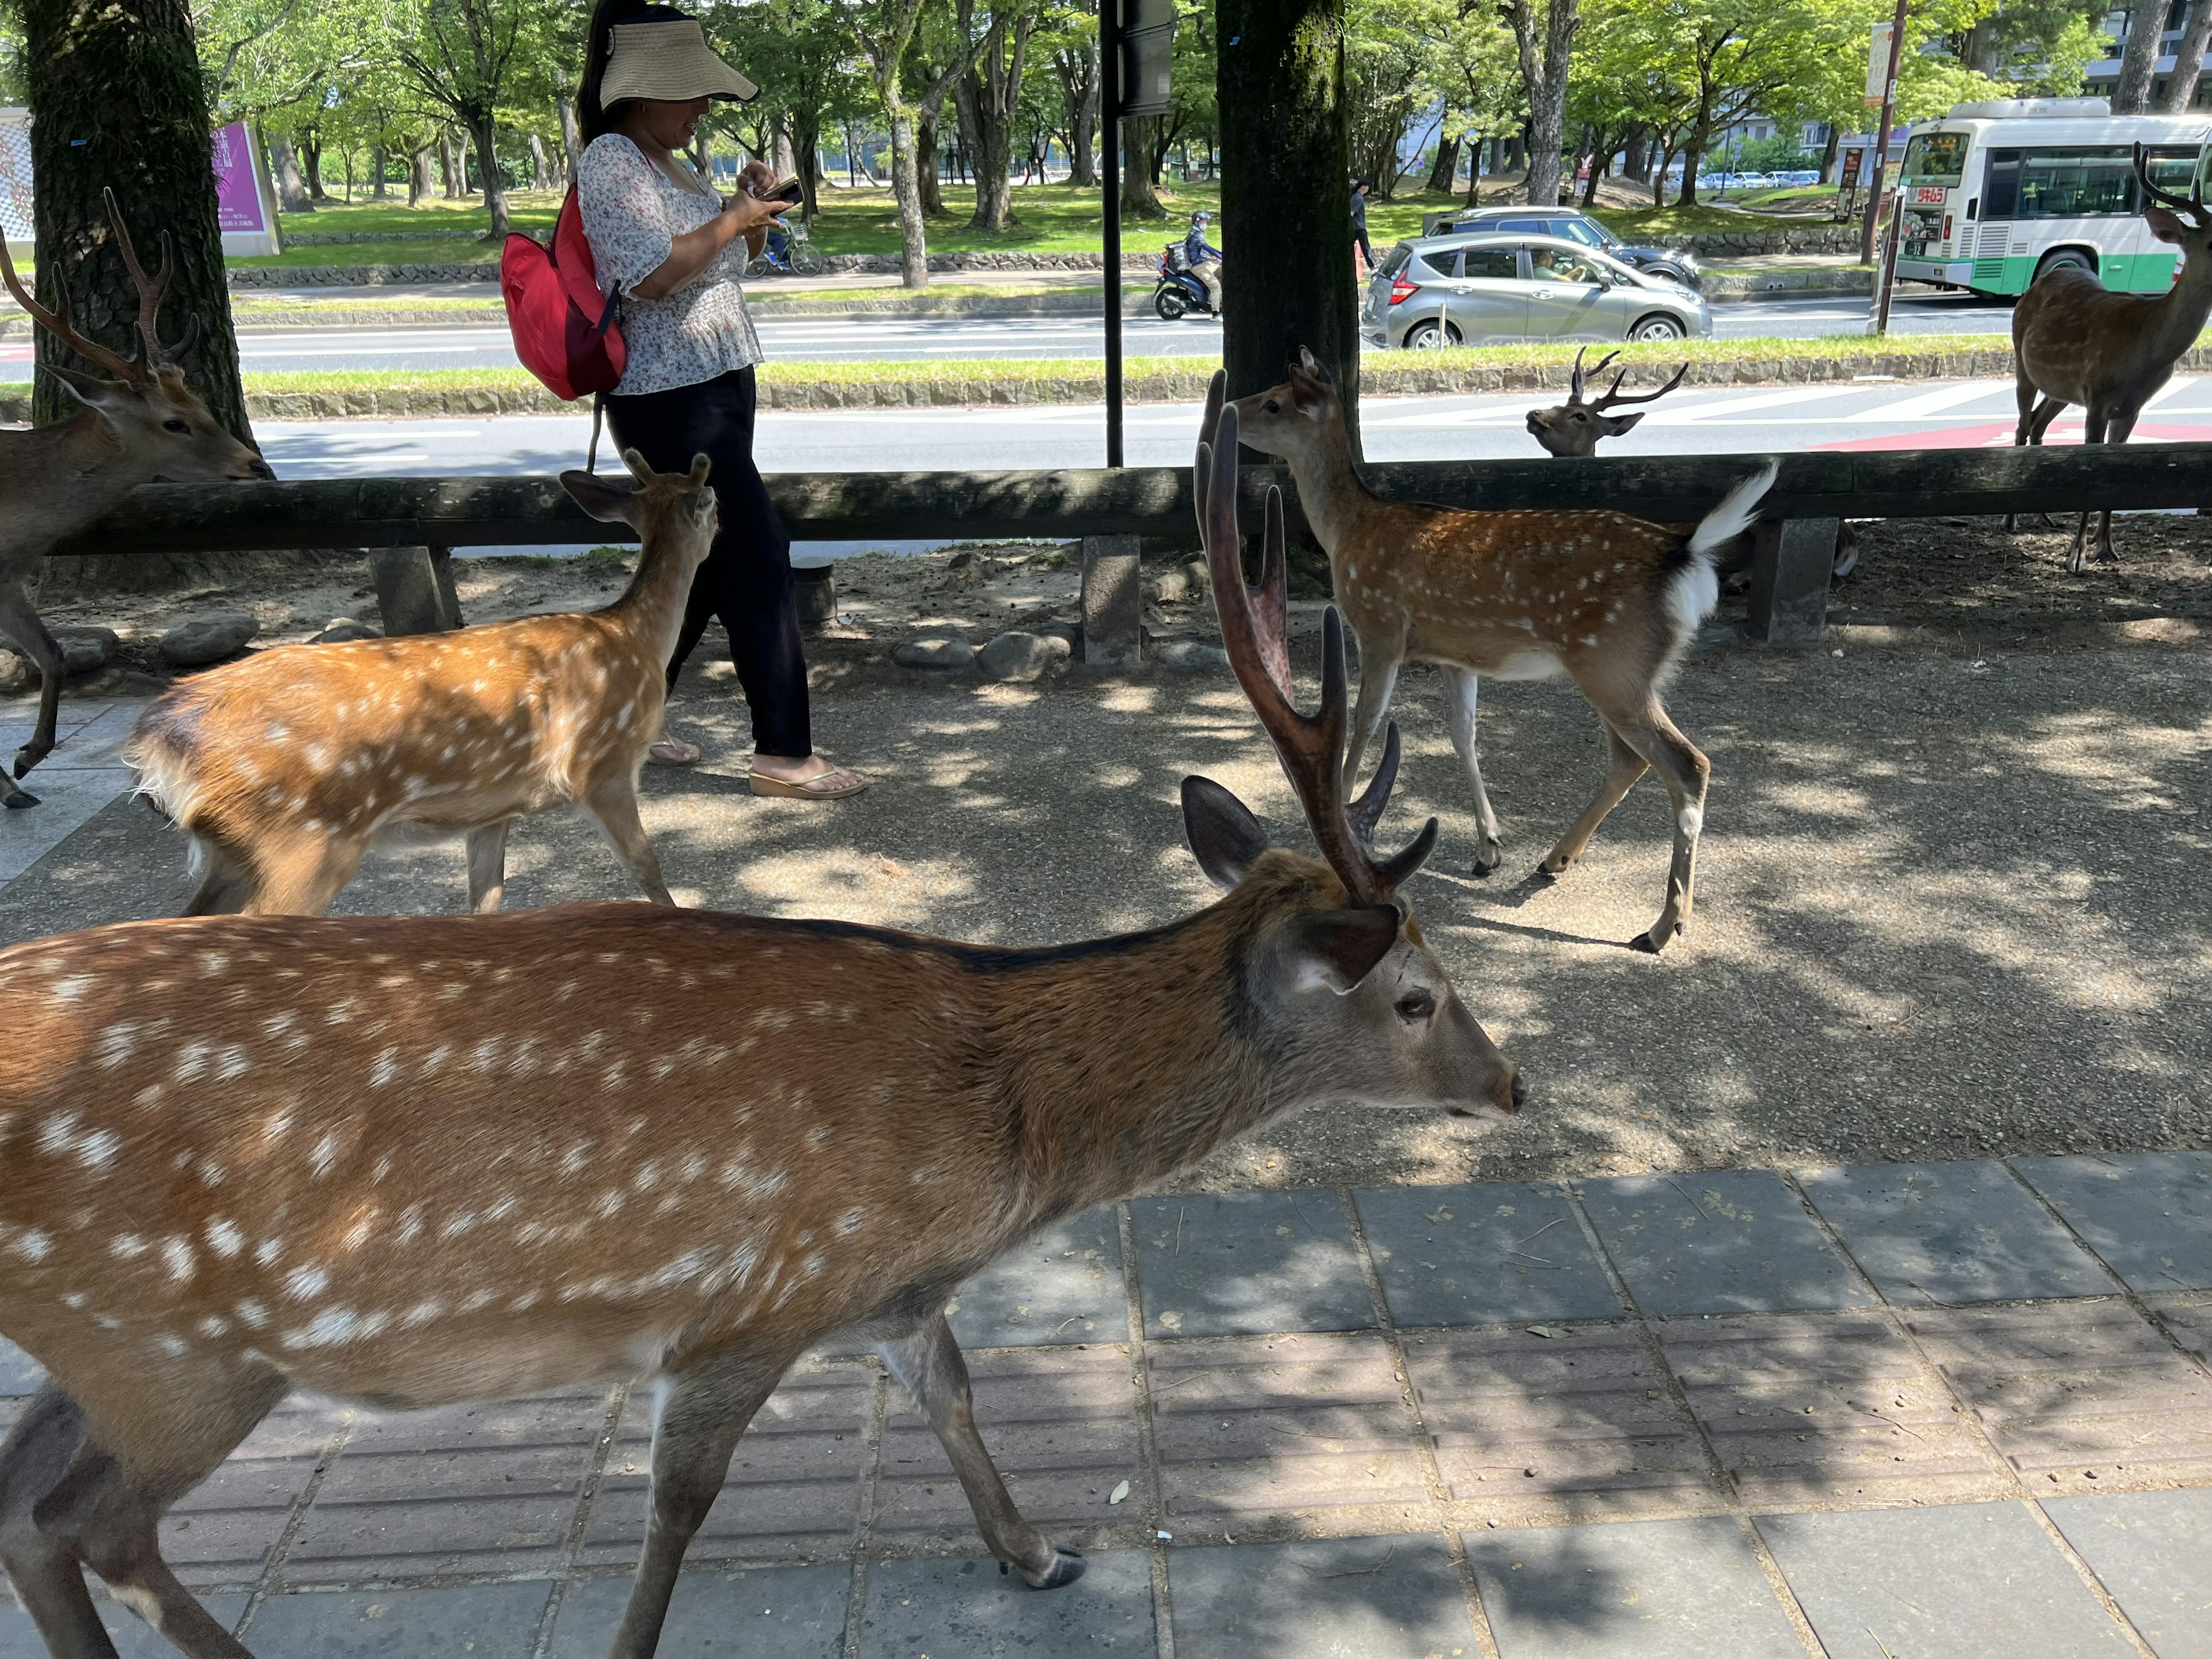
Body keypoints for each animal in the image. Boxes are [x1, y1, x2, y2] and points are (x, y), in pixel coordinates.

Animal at [0, 190, 274, 814]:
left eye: (201, 402)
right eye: (173, 422)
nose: (256, 465)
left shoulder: (6, 578)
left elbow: (53, 652)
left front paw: (23, 767)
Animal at [123, 451, 717, 925]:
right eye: (712, 501)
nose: (725, 521)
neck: (635, 637)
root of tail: (157, 740)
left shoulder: (496, 807)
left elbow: (486, 900)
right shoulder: (604, 764)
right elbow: (648, 867)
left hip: (236, 849)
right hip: (301, 839)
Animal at [1230, 351, 1778, 955]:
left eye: (1274, 402)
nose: (1229, 405)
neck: (1347, 531)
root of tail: (1686, 552)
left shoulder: (1380, 627)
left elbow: (1366, 722)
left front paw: (1341, 818)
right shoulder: (1453, 654)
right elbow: (1463, 733)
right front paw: (1488, 847)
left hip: (1611, 662)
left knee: (1687, 763)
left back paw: (1661, 926)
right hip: (1629, 670)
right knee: (1632, 758)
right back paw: (1555, 860)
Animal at [2017, 146, 2212, 570]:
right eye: (2211, 243)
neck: (2147, 349)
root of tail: (2041, 282)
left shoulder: (2132, 407)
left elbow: (2117, 473)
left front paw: (2106, 548)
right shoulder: (2098, 396)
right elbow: (2091, 473)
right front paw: (2076, 556)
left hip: (2061, 387)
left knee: (2039, 424)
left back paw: (2043, 516)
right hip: (2022, 364)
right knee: (2023, 425)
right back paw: (2010, 521)